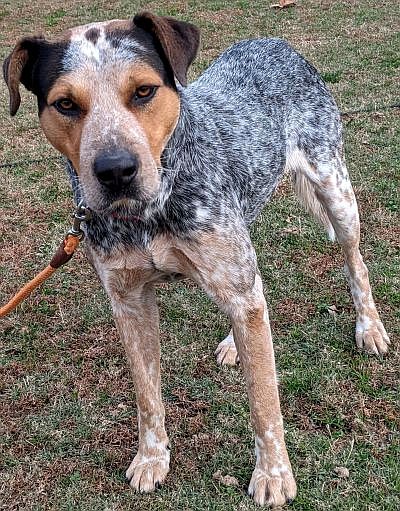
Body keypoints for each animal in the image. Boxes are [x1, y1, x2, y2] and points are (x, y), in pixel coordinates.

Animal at [3, 11, 390, 508]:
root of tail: (273, 40)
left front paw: (274, 474)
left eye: (144, 91)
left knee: (353, 261)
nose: (116, 171)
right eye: (66, 104)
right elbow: (147, 396)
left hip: (335, 193)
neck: (149, 212)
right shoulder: (129, 302)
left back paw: (370, 328)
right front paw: (152, 459)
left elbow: (264, 400)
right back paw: (234, 342)